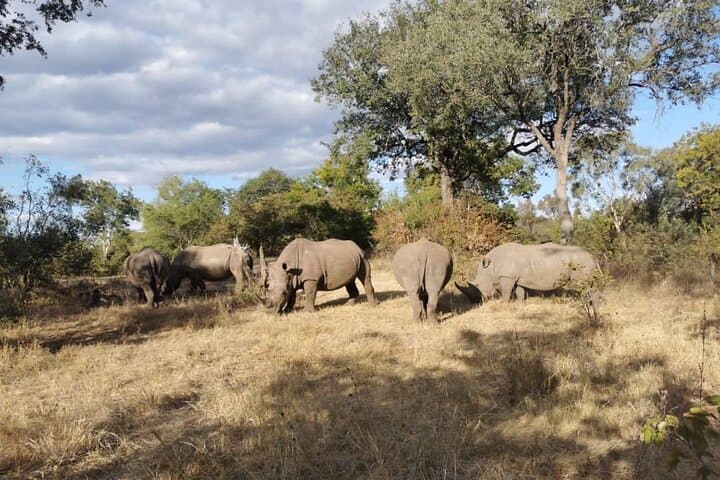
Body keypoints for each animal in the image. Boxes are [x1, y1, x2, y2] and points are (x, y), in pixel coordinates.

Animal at [456, 242, 601, 314]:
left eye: (478, 285)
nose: (475, 303)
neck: (491, 266)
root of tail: (593, 256)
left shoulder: (507, 276)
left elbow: (506, 293)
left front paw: (503, 305)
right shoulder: (518, 278)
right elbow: (520, 292)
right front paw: (520, 305)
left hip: (580, 264)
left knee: (583, 286)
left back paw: (585, 306)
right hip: (584, 263)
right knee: (591, 286)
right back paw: (593, 306)